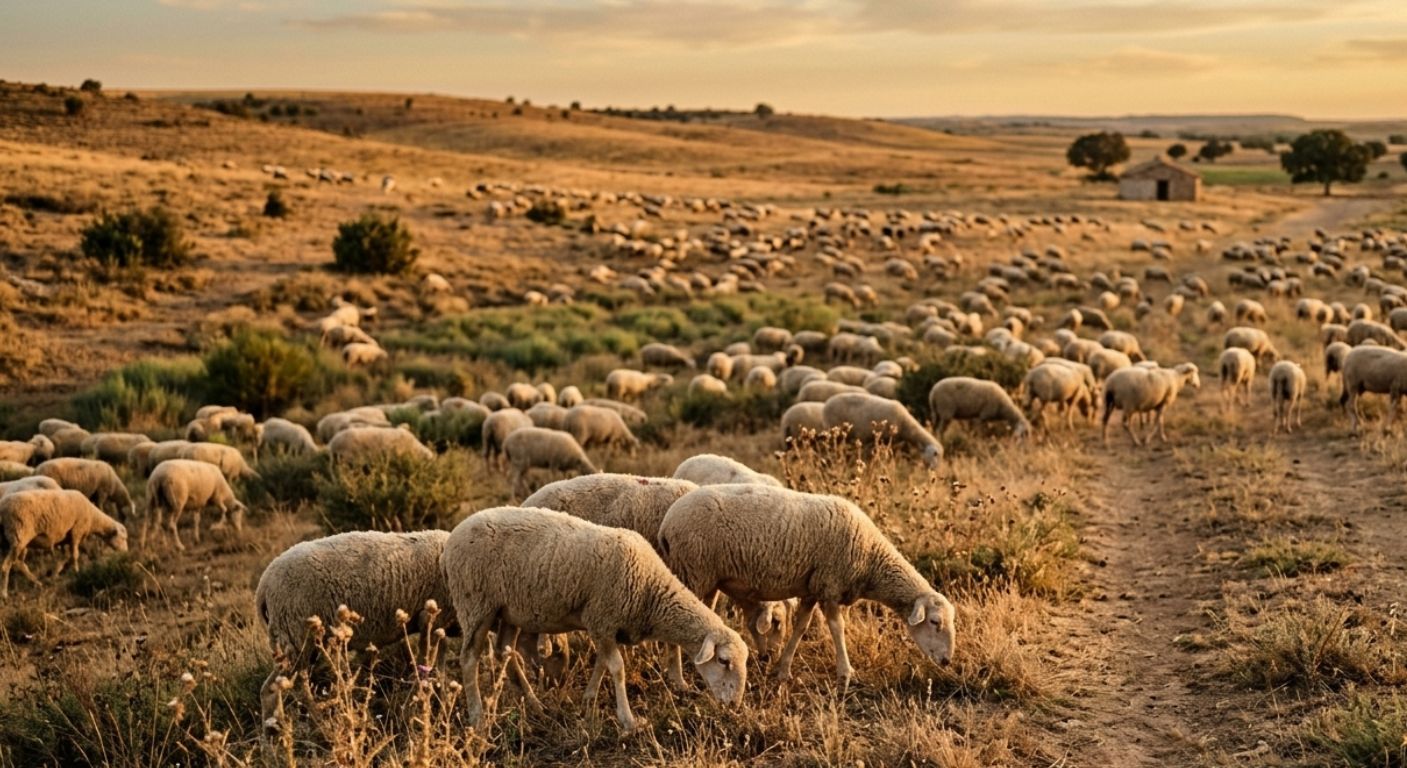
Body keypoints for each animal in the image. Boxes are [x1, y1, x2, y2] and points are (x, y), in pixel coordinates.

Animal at [255, 530, 455, 725]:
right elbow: (426, 665)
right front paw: (417, 708)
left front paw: (443, 706)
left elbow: (440, 669)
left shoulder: (441, 628)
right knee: (289, 688)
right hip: (297, 637)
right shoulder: (430, 620)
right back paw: (315, 723)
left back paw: (276, 729)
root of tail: (263, 585)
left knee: (274, 688)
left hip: (295, 641)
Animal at [442, 506, 748, 732]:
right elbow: (617, 668)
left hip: (508, 609)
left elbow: (602, 663)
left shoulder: (607, 626)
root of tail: (454, 535)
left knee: (504, 652)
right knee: (469, 659)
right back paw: (478, 717)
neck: (651, 590)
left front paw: (588, 700)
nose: (734, 705)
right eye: (723, 661)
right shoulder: (602, 618)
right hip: (476, 603)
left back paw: (535, 705)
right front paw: (629, 721)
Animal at [657, 484, 955, 686]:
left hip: (707, 578)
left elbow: (800, 627)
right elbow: (837, 628)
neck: (871, 559)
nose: (947, 661)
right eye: (935, 622)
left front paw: (782, 670)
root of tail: (666, 524)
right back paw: (677, 679)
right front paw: (846, 674)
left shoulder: (813, 588)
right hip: (693, 570)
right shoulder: (830, 584)